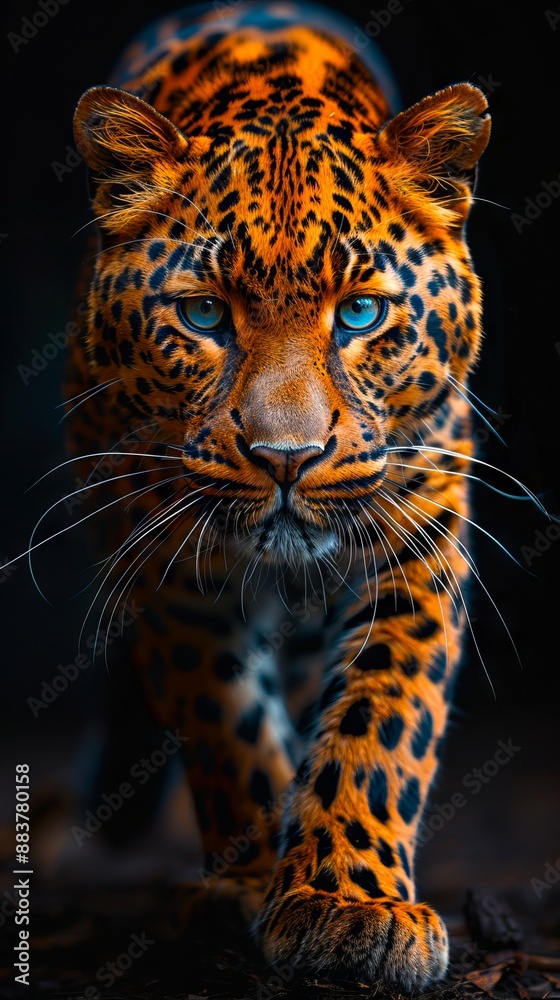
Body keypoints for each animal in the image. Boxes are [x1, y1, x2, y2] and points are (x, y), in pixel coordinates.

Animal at [64, 0, 493, 990]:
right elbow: (227, 725)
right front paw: (254, 885)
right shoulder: (171, 567)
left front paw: (350, 904)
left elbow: (383, 720)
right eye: (205, 315)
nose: (286, 458)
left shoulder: (420, 537)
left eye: (362, 313)